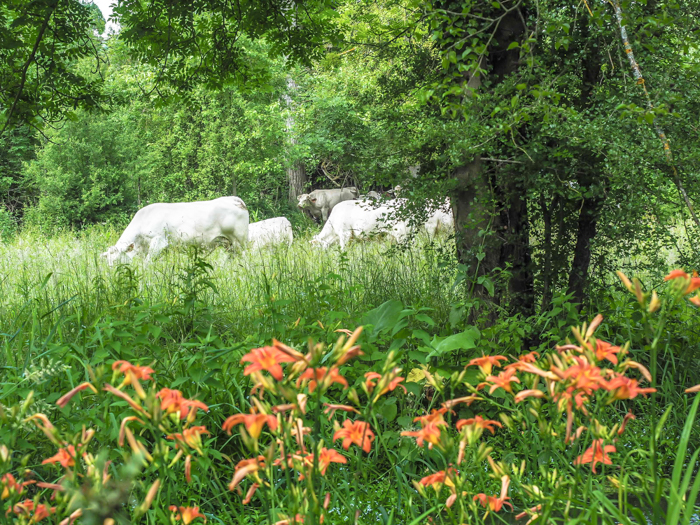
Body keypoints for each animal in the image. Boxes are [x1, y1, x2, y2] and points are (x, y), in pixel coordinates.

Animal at [101, 194, 249, 264]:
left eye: (116, 261)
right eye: (108, 263)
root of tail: (232, 199)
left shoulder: (158, 242)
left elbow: (147, 264)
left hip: (240, 241)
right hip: (229, 244)